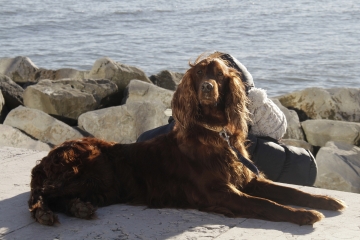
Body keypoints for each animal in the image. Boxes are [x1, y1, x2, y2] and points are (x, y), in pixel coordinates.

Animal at [28, 52, 346, 225]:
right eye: (198, 75)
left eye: (219, 75)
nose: (206, 87)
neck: (215, 134)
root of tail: (48, 157)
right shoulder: (218, 192)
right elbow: (267, 205)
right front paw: (304, 215)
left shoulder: (247, 178)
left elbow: (292, 191)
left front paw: (326, 200)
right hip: (95, 170)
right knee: (41, 194)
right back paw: (45, 213)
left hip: (105, 186)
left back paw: (79, 208)